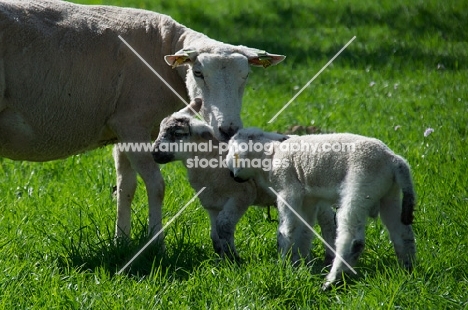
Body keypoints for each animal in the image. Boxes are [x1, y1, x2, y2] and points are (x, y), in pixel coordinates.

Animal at [0, 1, 286, 246]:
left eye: (245, 76)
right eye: (198, 73)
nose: (229, 129)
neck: (163, 50)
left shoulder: (121, 128)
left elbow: (125, 188)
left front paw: (121, 241)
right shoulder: (132, 123)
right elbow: (156, 186)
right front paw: (156, 241)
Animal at [150, 100, 336, 262]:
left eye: (178, 134)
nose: (154, 153)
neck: (210, 159)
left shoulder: (242, 195)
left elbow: (224, 225)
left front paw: (234, 259)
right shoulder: (211, 203)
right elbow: (215, 233)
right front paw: (223, 258)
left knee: (328, 219)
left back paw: (329, 256)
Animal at [227, 128, 416, 288]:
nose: (232, 175)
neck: (271, 155)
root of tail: (395, 160)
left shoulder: (288, 189)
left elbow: (287, 229)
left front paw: (282, 264)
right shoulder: (308, 199)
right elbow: (304, 230)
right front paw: (299, 263)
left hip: (361, 186)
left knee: (352, 238)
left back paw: (332, 281)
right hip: (390, 195)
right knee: (402, 233)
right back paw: (407, 270)